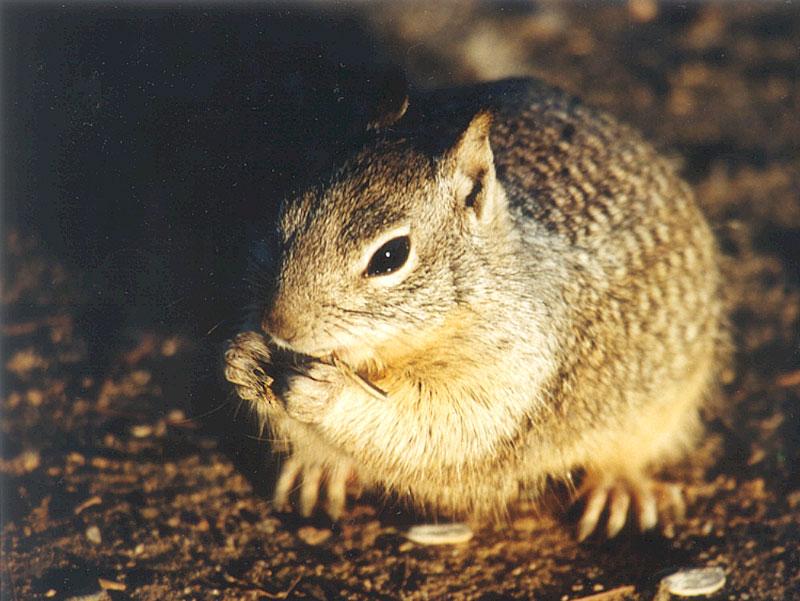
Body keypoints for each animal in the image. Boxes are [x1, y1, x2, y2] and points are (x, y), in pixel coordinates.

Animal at [222, 76, 728, 540]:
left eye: (390, 256)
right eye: (285, 217)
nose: (277, 324)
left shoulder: (511, 372)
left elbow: (443, 424)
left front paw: (326, 393)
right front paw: (243, 357)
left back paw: (617, 489)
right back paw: (319, 468)